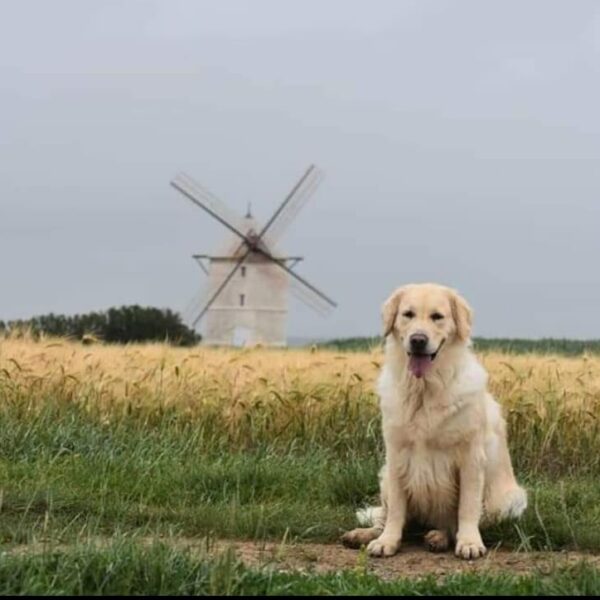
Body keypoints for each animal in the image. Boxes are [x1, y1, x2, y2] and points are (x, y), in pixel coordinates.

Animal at [342, 284, 524, 560]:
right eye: (407, 314)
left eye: (437, 316)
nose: (418, 340)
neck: (424, 390)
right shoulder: (396, 455)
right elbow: (396, 511)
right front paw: (387, 541)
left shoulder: (470, 458)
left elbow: (467, 508)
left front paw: (469, 542)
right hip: (384, 477)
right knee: (388, 517)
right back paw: (363, 535)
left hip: (512, 500)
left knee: (449, 523)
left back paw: (438, 537)